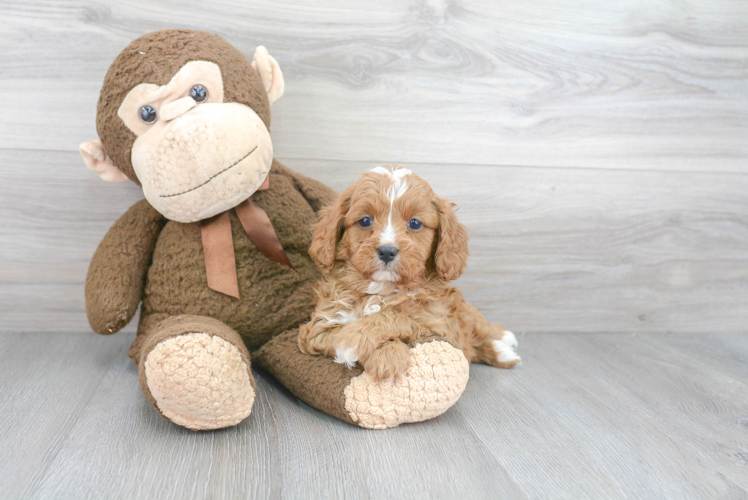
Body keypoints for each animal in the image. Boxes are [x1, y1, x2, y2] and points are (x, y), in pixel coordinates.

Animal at [298, 166, 520, 380]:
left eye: (414, 223)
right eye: (365, 221)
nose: (387, 251)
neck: (383, 288)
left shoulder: (441, 326)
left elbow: (398, 317)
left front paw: (353, 339)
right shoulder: (318, 328)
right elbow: (344, 329)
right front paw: (389, 356)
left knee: (476, 324)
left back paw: (502, 341)